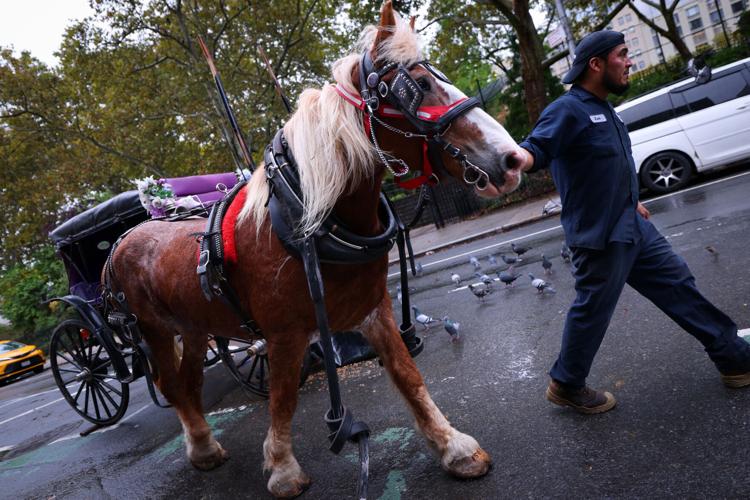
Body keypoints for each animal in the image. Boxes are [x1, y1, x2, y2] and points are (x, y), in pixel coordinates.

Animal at [108, 2, 526, 497]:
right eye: (419, 86)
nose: (515, 159)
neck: (311, 223)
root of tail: (126, 237)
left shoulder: (375, 310)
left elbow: (408, 375)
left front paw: (453, 447)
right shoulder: (284, 335)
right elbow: (283, 398)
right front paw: (283, 468)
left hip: (193, 326)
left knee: (188, 383)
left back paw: (204, 443)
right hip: (154, 330)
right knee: (170, 384)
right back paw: (202, 447)